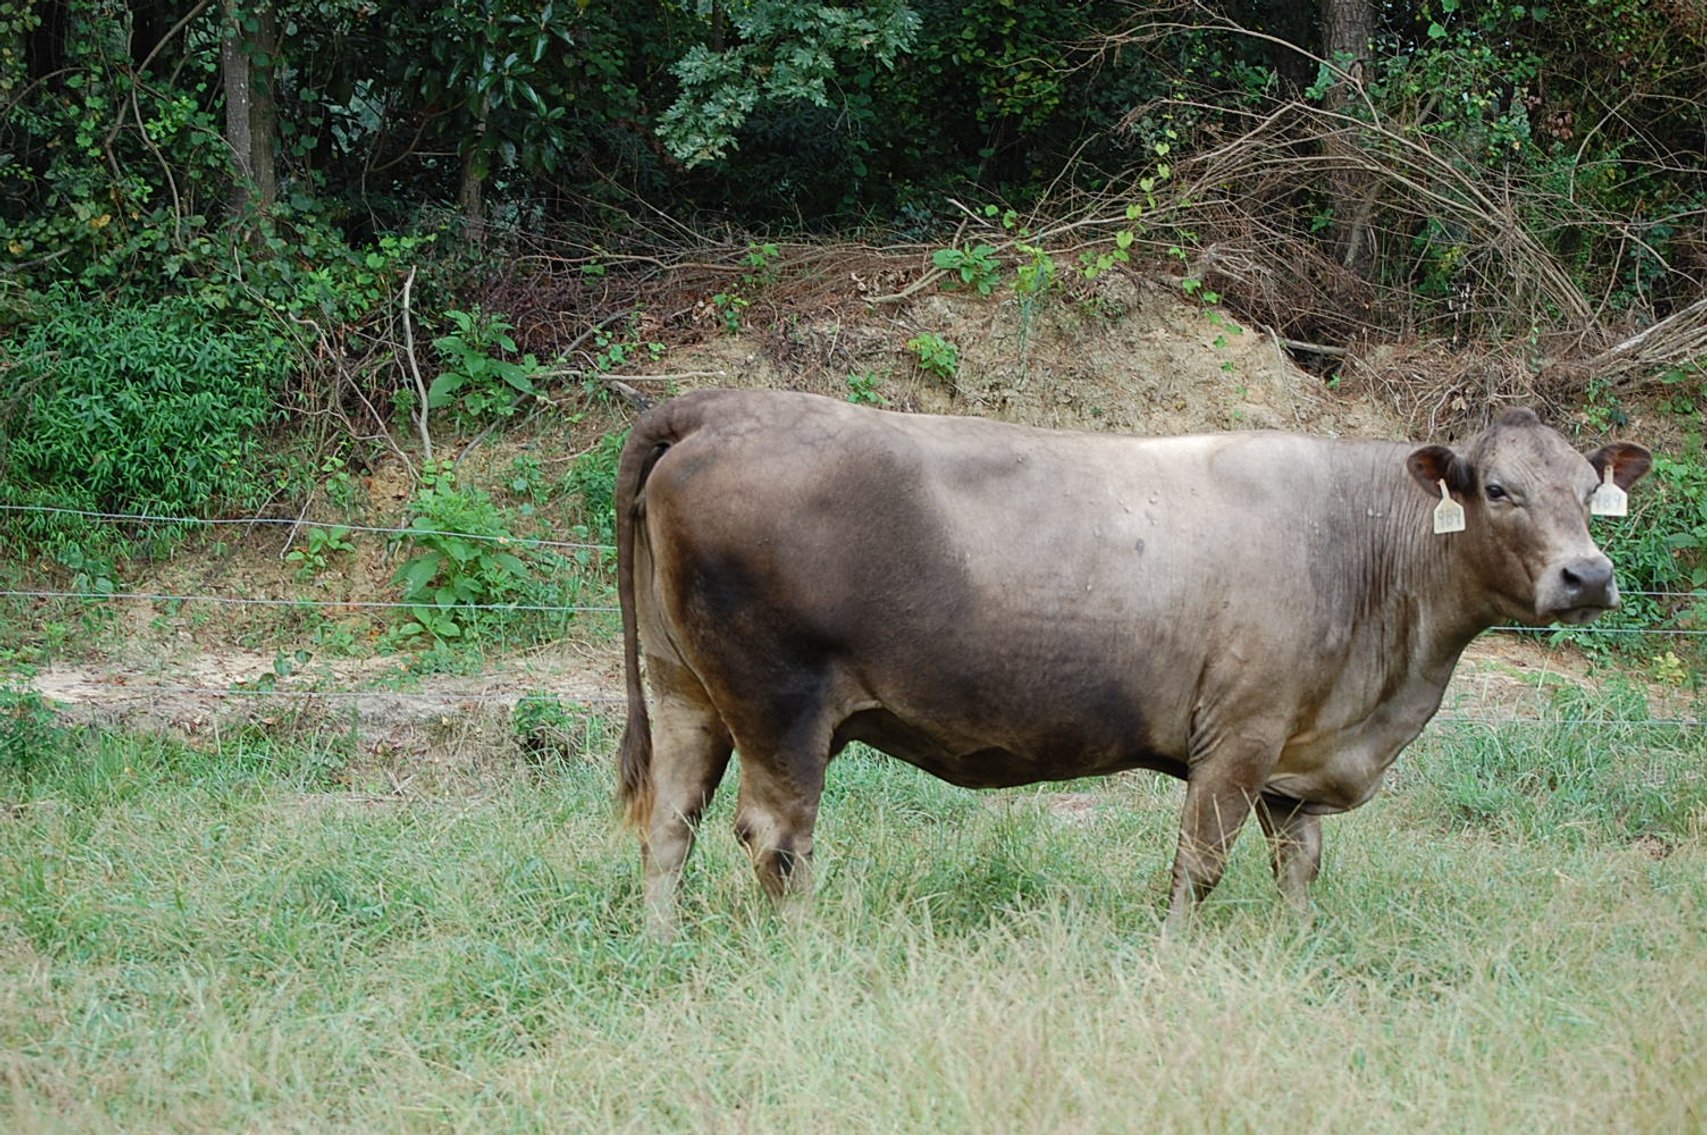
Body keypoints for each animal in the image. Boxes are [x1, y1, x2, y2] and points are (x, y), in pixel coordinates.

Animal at [614, 389, 1650, 936]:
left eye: (1586, 487)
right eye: (1499, 489)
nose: (1588, 573)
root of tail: (718, 406)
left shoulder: (1295, 757)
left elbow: (1300, 863)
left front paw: (1296, 948)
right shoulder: (1238, 734)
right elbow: (1199, 862)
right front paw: (1174, 954)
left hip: (686, 690)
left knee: (670, 819)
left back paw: (664, 940)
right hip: (778, 702)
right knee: (775, 836)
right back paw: (807, 943)